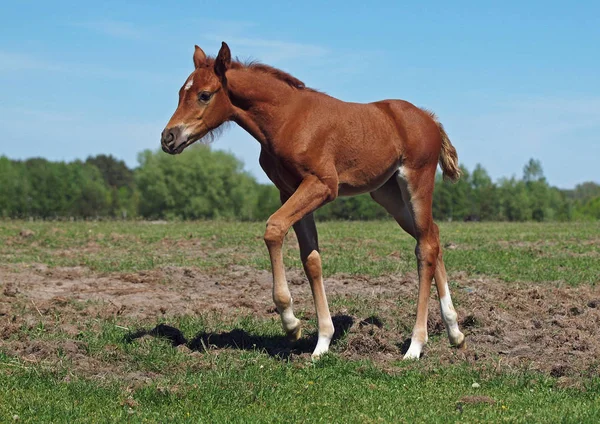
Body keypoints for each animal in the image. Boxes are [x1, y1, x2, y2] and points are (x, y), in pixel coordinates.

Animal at [162, 43, 466, 360]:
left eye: (204, 95)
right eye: (180, 93)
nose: (168, 137)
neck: (286, 119)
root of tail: (429, 118)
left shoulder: (322, 185)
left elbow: (274, 229)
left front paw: (291, 323)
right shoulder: (289, 191)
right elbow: (311, 260)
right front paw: (322, 342)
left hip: (416, 182)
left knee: (425, 248)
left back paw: (416, 345)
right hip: (388, 194)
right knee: (431, 236)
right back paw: (455, 331)